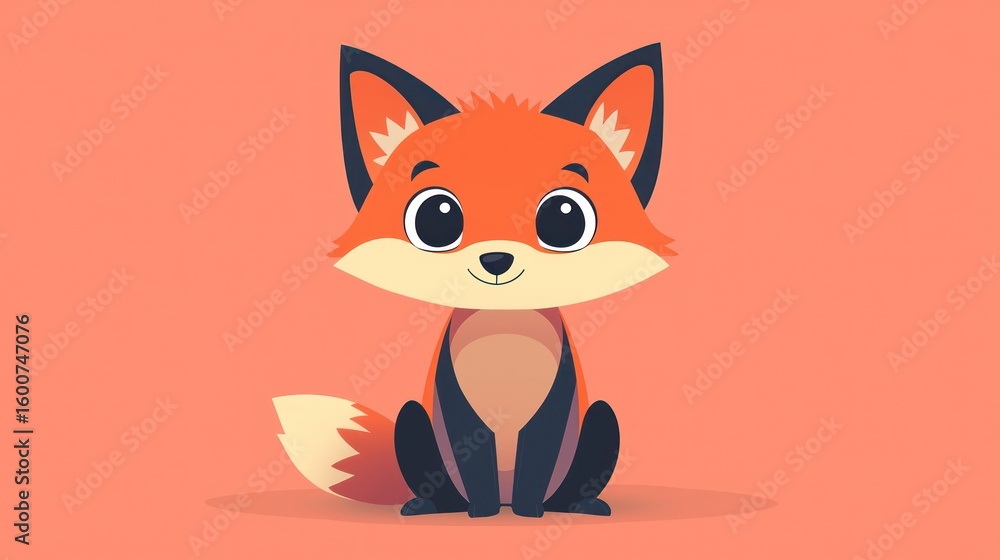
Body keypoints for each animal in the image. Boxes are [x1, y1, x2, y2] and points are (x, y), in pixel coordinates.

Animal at [273, 44, 676, 518]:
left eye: (564, 217)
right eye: (436, 216)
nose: (496, 258)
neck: (503, 330)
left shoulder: (553, 410)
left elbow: (536, 460)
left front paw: (530, 514)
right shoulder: (459, 410)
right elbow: (475, 460)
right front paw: (481, 513)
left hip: (601, 418)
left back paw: (577, 505)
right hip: (413, 419)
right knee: (440, 481)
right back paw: (431, 506)